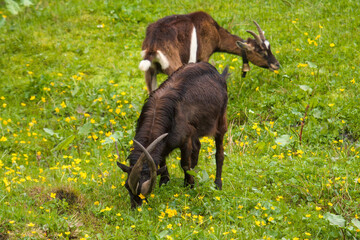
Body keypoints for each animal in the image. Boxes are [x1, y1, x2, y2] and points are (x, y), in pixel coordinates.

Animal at [117, 62, 228, 208]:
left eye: (145, 191)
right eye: (127, 187)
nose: (136, 207)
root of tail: (218, 74)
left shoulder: (185, 140)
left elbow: (185, 164)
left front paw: (189, 186)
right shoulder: (166, 142)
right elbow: (162, 161)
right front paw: (165, 182)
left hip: (221, 121)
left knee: (219, 153)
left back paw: (218, 184)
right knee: (197, 147)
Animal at [139, 11, 280, 93]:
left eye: (269, 47)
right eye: (261, 52)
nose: (276, 65)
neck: (216, 32)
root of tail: (152, 46)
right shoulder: (204, 56)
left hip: (149, 72)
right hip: (174, 66)